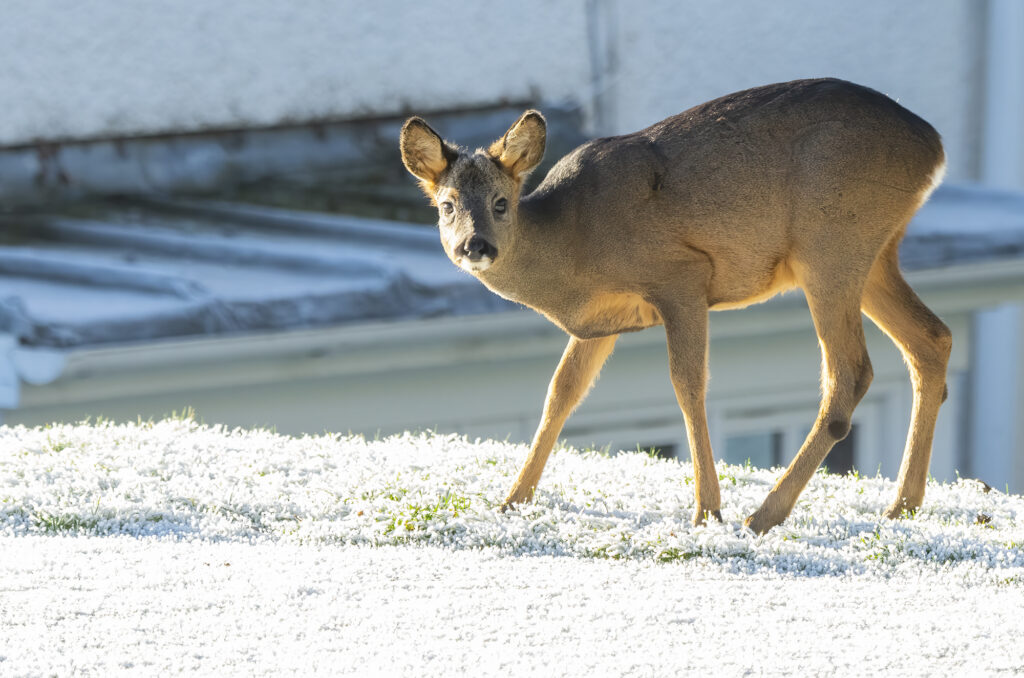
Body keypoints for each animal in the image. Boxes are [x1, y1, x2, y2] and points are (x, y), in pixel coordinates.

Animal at [399, 79, 950, 532]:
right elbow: (562, 392)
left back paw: (763, 515)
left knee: (851, 373)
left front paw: (707, 510)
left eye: (500, 204)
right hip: (873, 253)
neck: (572, 243)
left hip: (831, 241)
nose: (476, 246)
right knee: (932, 339)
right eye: (446, 206)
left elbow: (687, 385)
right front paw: (512, 500)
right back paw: (902, 505)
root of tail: (935, 148)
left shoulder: (681, 276)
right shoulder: (601, 321)